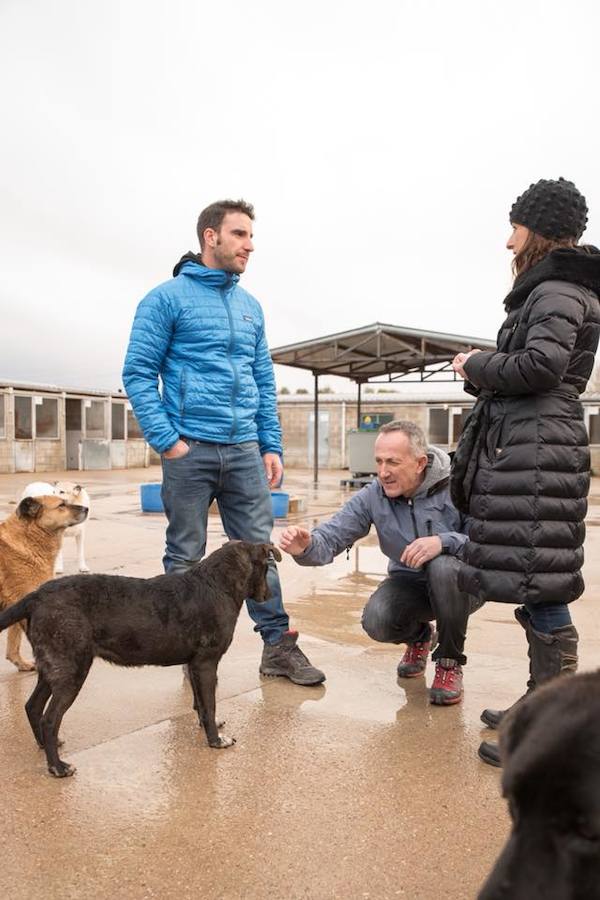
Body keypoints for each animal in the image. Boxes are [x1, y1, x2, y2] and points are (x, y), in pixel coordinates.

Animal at [0, 496, 88, 672]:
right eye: (61, 505)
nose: (86, 509)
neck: (28, 536)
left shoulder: (15, 605)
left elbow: (13, 643)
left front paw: (21, 664)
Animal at [0, 536, 282, 776]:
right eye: (267, 568)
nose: (268, 596)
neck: (218, 583)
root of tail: (37, 596)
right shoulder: (206, 663)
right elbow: (210, 704)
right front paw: (215, 741)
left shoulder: (194, 665)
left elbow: (201, 705)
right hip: (72, 671)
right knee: (50, 718)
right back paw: (57, 767)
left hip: (53, 667)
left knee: (32, 706)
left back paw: (45, 747)